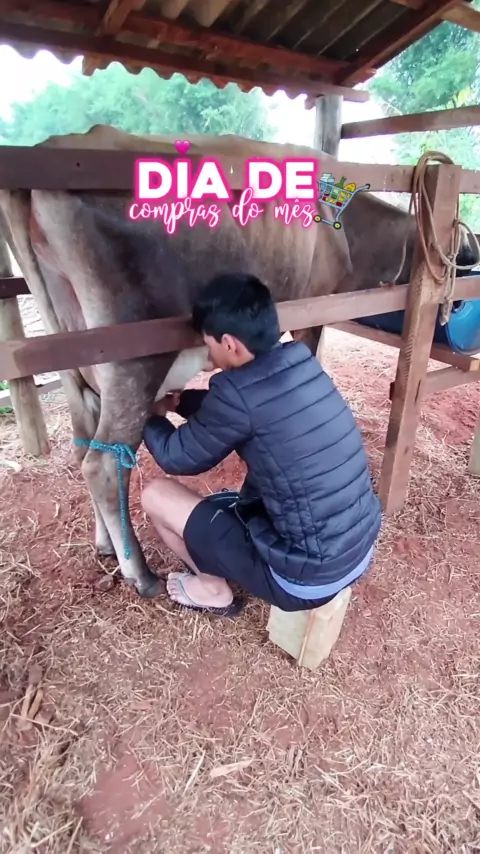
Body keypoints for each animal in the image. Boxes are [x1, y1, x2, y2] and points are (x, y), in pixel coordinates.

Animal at [0, 125, 476, 598]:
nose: (454, 306)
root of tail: (54, 147)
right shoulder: (311, 308)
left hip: (72, 354)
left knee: (84, 442)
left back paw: (104, 544)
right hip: (132, 355)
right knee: (104, 462)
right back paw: (141, 573)